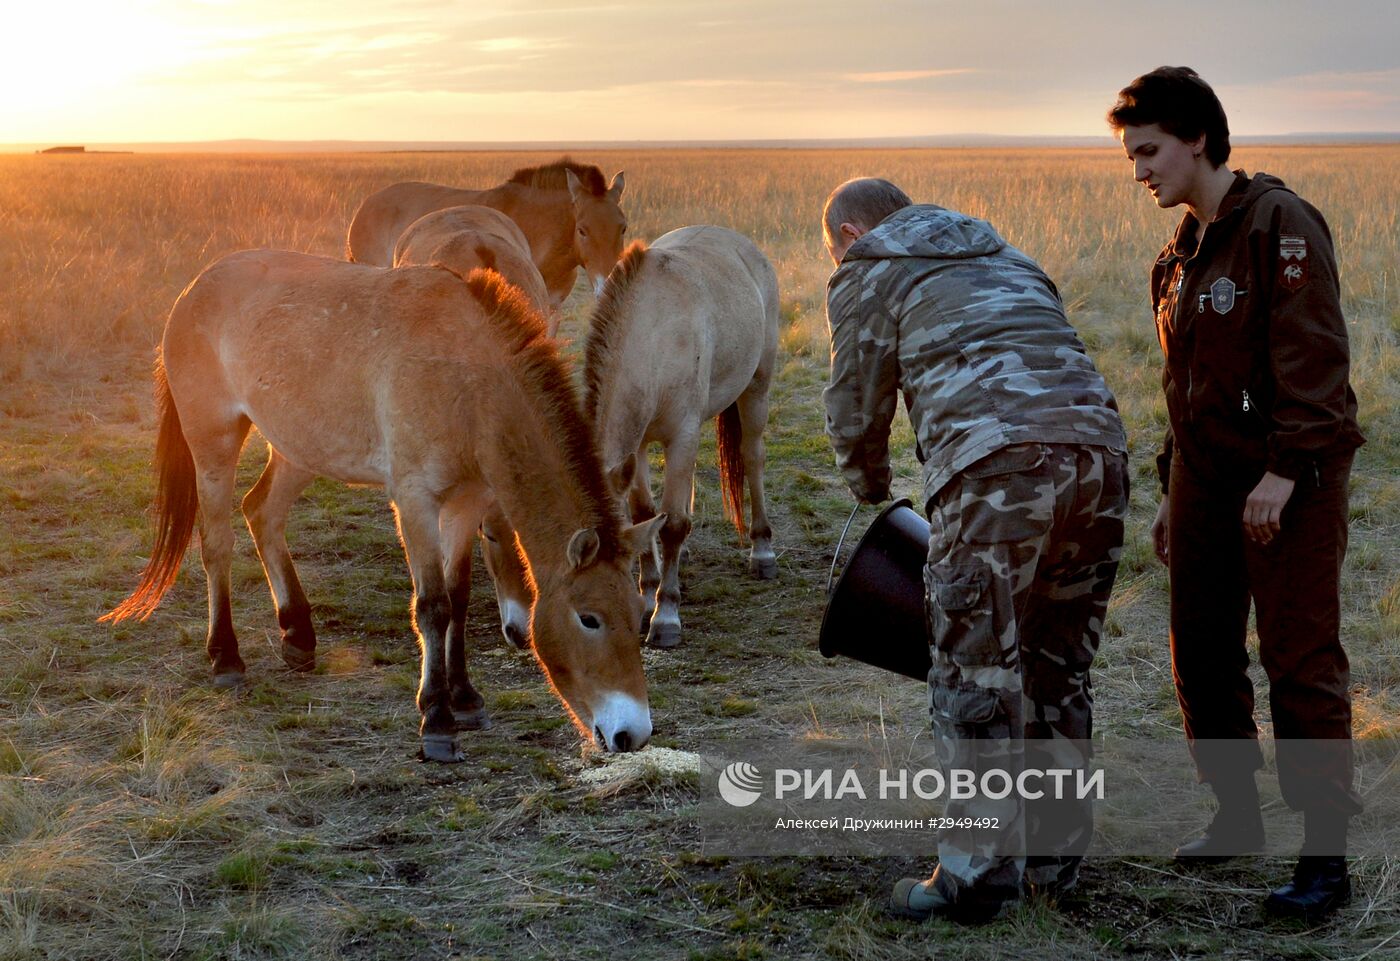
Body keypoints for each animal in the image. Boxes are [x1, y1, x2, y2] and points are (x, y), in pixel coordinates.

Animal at [102, 252, 660, 762]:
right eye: (589, 618)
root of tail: (195, 286)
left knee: (261, 511)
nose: (632, 733)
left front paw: (465, 697)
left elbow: (458, 598)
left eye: (638, 613)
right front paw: (436, 719)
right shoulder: (415, 501)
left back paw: (297, 633)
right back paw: (225, 658)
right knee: (217, 542)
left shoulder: (465, 502)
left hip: (300, 448)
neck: (467, 379)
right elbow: (432, 606)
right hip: (213, 442)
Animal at [576, 225, 778, 650]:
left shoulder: (681, 435)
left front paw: (665, 614)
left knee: (752, 458)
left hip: (757, 388)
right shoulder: (635, 447)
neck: (653, 336)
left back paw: (762, 551)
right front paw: (648, 592)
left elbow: (671, 525)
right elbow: (644, 514)